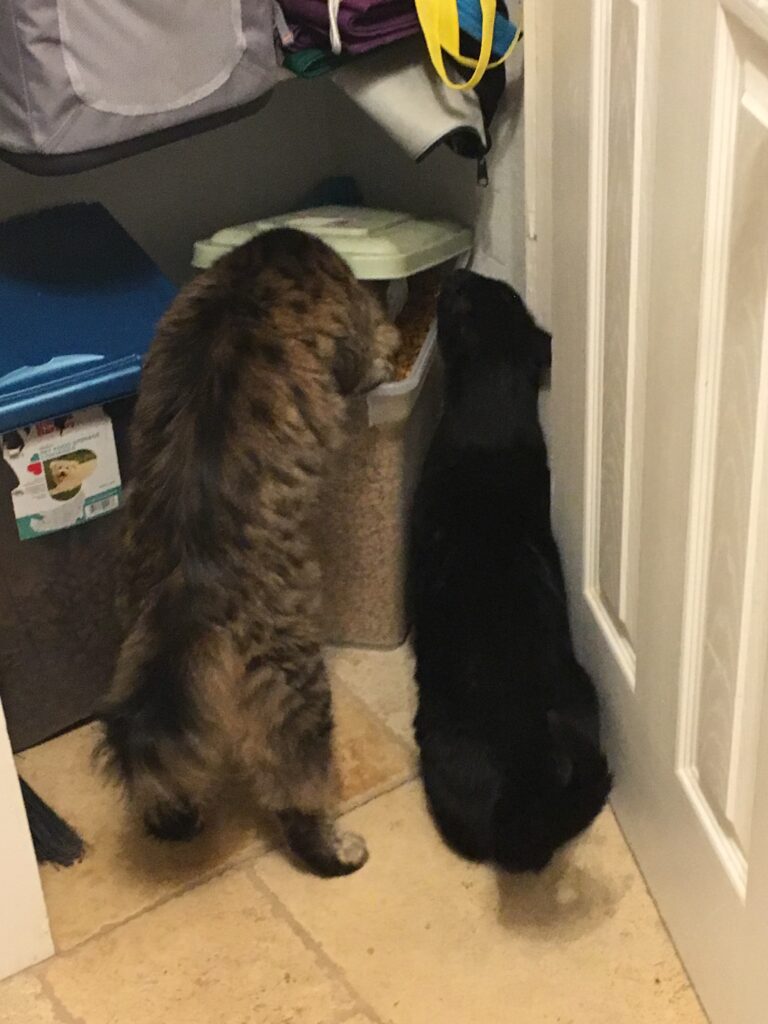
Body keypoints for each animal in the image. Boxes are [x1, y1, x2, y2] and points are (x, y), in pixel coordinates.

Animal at [98, 228, 399, 877]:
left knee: (160, 766)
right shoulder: (351, 335)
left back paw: (174, 820)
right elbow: (370, 351)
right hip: (294, 675)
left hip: (137, 637)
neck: (265, 259)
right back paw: (337, 852)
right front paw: (389, 348)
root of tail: (190, 581)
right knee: (295, 786)